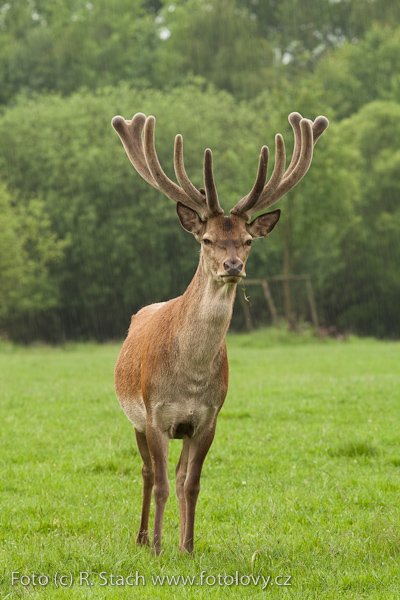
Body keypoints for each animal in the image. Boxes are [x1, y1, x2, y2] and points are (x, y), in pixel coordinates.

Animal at [110, 110, 328, 556]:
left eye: (247, 241)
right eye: (207, 239)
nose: (232, 266)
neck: (190, 379)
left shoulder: (208, 418)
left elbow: (190, 484)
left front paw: (187, 547)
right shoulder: (156, 415)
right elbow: (161, 484)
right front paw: (158, 549)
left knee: (174, 475)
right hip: (134, 417)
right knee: (146, 472)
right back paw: (141, 537)